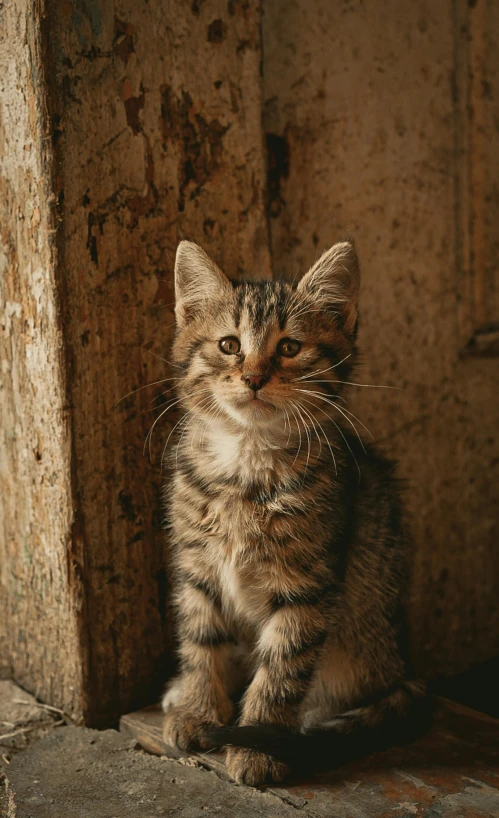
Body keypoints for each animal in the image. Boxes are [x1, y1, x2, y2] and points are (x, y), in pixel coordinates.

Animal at [162, 241, 428, 784]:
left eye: (289, 348)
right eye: (228, 345)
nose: (253, 377)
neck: (246, 461)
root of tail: (402, 665)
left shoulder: (307, 586)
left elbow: (282, 668)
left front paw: (259, 742)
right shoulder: (197, 567)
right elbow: (201, 639)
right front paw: (199, 710)